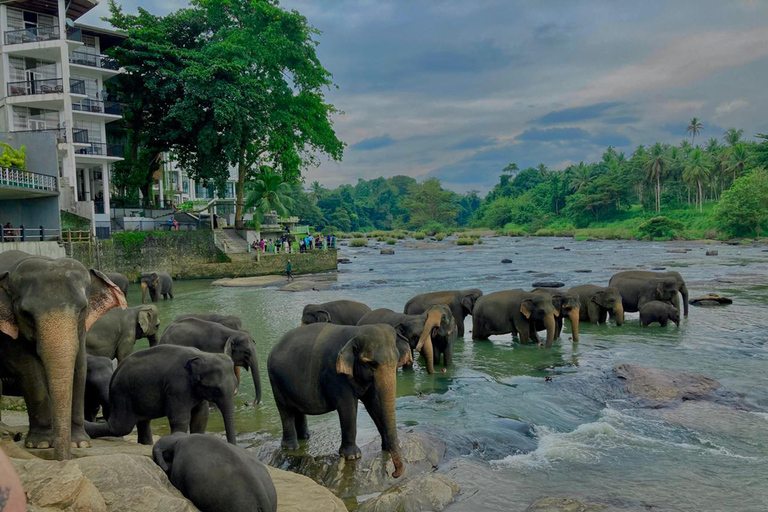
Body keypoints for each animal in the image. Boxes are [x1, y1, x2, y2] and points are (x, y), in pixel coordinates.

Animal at [0, 250, 126, 460]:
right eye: (26, 314)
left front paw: (80, 443)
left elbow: (79, 366)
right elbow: (28, 369)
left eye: (83, 309)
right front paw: (41, 444)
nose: (64, 459)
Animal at [85, 345, 238, 445]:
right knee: (120, 427)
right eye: (216, 389)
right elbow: (180, 419)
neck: (204, 354)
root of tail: (115, 372)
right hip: (122, 396)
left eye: (235, 386)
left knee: (142, 422)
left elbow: (201, 417)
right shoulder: (177, 387)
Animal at [268, 323, 411, 478]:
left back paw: (305, 437)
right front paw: (352, 456)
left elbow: (374, 405)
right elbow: (348, 407)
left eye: (396, 361)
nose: (394, 474)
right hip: (276, 381)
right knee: (285, 410)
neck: (355, 332)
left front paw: (386, 447)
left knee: (297, 409)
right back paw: (291, 448)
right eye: (371, 363)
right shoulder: (335, 375)